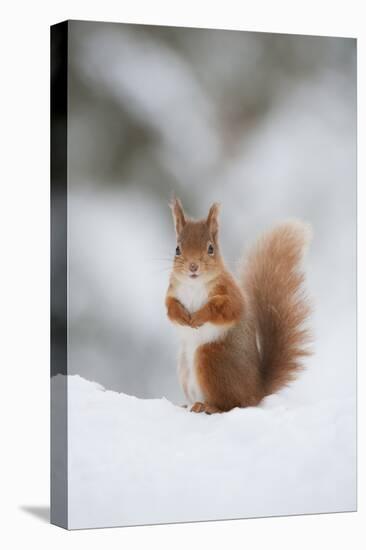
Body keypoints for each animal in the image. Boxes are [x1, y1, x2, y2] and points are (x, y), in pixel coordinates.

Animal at [166, 201, 312, 416]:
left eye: (210, 248)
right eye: (177, 249)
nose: (193, 266)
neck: (194, 284)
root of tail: (256, 391)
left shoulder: (231, 294)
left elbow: (226, 309)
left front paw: (199, 316)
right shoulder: (172, 292)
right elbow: (170, 308)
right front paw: (182, 317)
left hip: (210, 359)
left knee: (231, 404)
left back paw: (209, 406)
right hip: (185, 367)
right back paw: (188, 405)